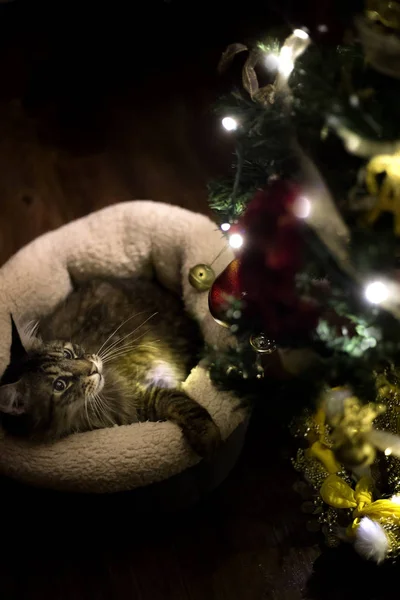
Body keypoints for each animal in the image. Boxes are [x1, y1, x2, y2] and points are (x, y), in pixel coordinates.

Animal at [0, 278, 220, 458]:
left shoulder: (143, 392)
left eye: (68, 354)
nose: (92, 368)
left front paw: (208, 437)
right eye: (60, 384)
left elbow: (182, 403)